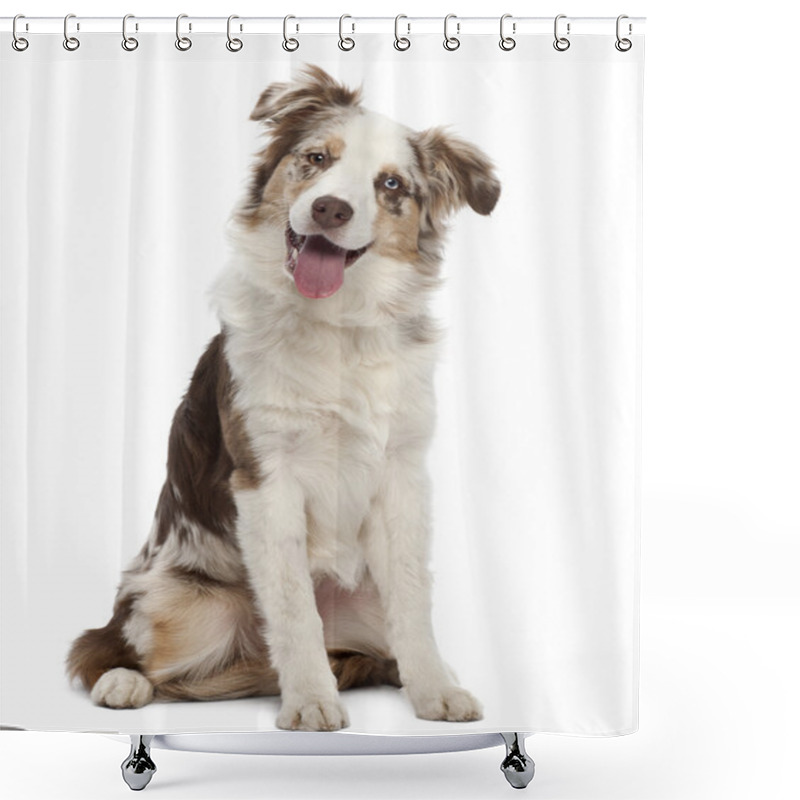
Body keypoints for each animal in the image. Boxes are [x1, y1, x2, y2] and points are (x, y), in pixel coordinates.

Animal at [72, 67, 504, 732]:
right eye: (317, 158)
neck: (338, 328)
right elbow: (295, 608)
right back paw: (123, 681)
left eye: (391, 184)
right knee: (111, 647)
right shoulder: (265, 476)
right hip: (184, 607)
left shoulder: (402, 474)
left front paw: (434, 690)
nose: (330, 207)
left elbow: (413, 601)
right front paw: (310, 702)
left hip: (361, 608)